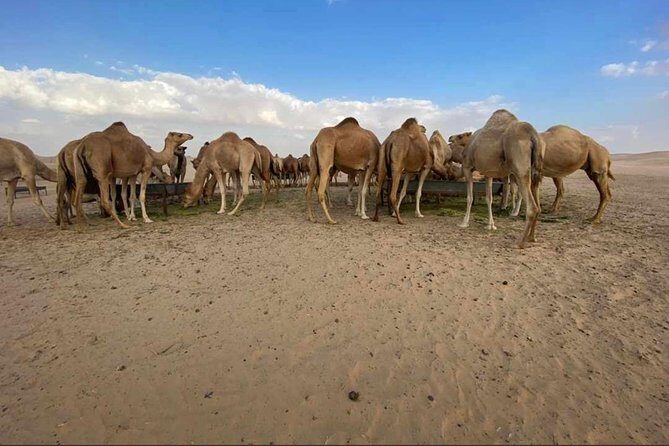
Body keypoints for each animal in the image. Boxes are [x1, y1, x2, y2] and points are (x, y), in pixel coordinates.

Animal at [459, 110, 544, 248]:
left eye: (459, 136)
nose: (449, 138)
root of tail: (532, 134)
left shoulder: (467, 167)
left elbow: (469, 197)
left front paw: (464, 222)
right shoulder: (488, 173)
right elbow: (489, 198)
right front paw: (491, 225)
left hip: (520, 169)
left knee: (532, 207)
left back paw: (520, 242)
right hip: (535, 171)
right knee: (538, 205)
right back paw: (532, 238)